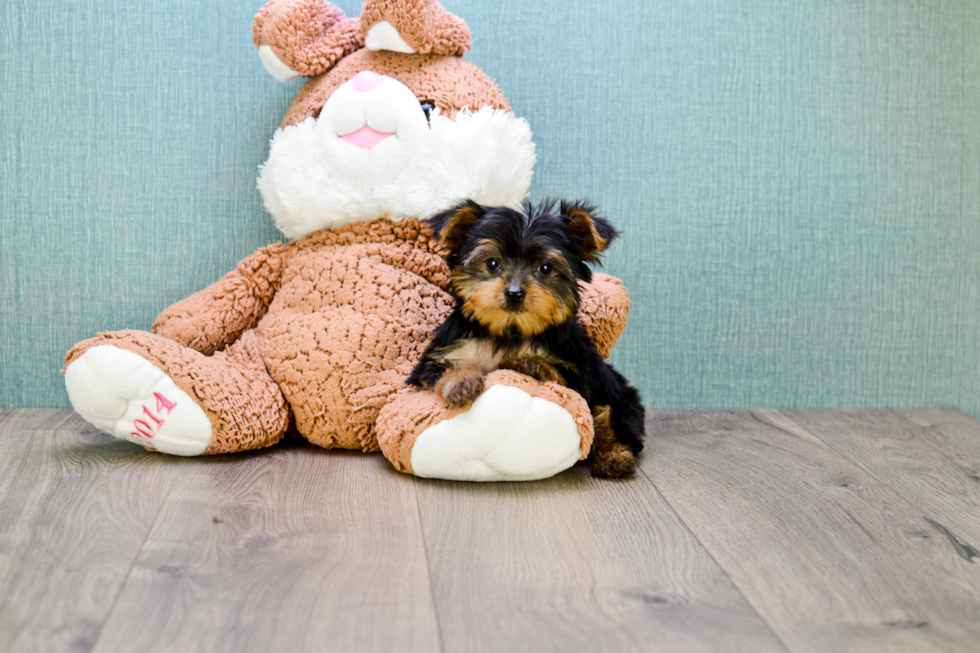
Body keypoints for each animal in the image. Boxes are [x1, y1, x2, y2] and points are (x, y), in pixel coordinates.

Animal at [406, 199, 644, 478]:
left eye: (545, 268)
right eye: (493, 263)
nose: (514, 293)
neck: (510, 330)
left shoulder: (582, 370)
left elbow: (564, 377)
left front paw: (532, 364)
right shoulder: (439, 354)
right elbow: (441, 369)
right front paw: (461, 382)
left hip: (620, 399)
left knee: (613, 421)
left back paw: (615, 458)